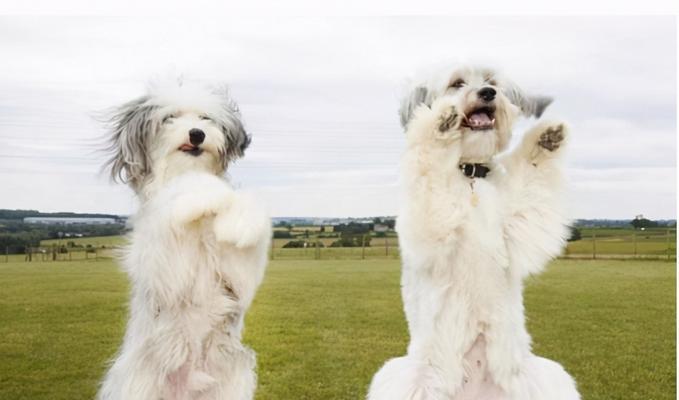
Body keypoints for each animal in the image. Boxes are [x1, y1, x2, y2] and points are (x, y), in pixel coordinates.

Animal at [97, 79, 270, 398]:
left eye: (205, 118)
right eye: (170, 118)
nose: (197, 134)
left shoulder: (234, 275)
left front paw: (239, 219)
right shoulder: (165, 266)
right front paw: (202, 191)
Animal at [370, 65, 580, 400]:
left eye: (492, 82)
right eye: (457, 83)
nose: (488, 94)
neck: (470, 176)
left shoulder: (516, 224)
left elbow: (532, 180)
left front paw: (547, 138)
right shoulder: (431, 225)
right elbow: (429, 168)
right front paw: (440, 124)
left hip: (543, 378)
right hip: (411, 382)